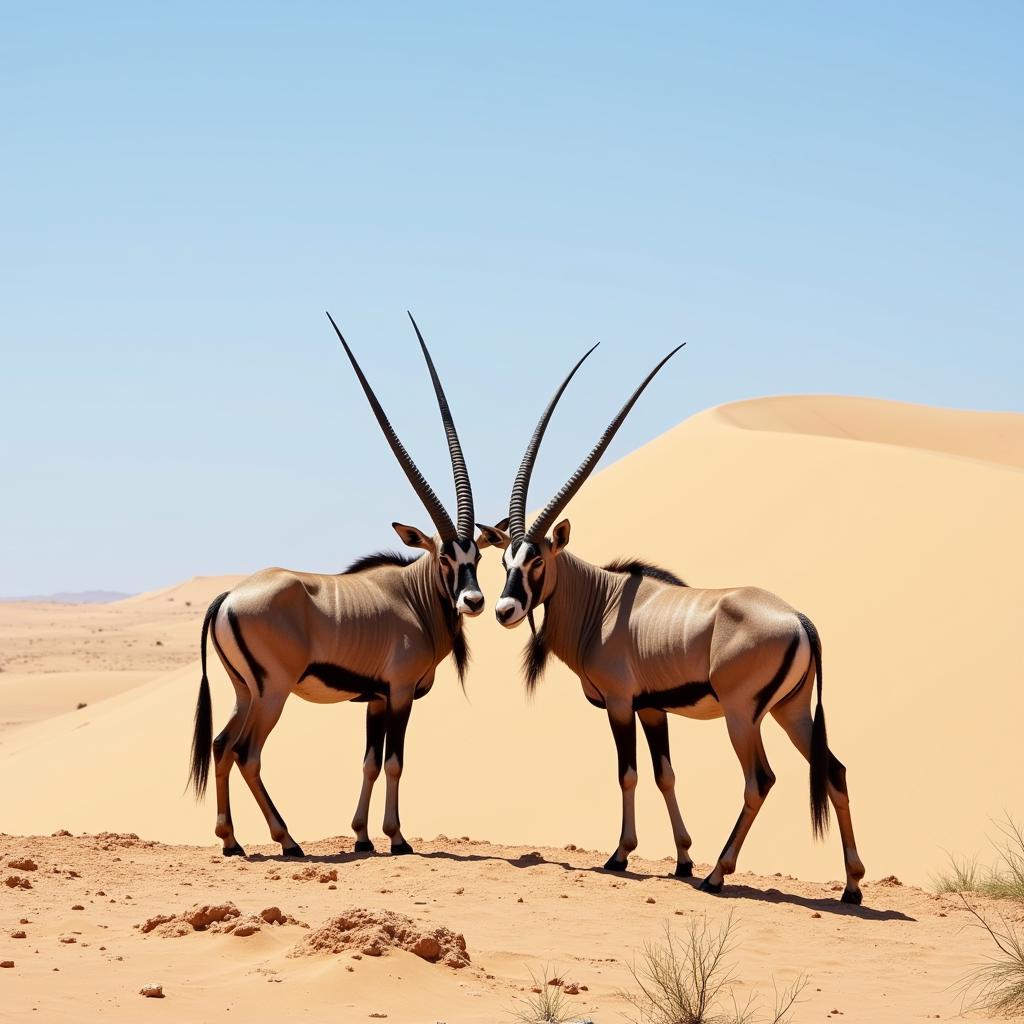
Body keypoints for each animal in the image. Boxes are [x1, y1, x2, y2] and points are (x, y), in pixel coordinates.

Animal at [190, 311, 501, 856]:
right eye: (444, 556)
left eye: (477, 555)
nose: (474, 600)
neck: (413, 597)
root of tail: (228, 598)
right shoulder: (398, 693)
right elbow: (395, 761)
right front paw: (396, 838)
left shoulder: (374, 699)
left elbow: (370, 762)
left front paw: (361, 836)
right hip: (272, 692)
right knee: (247, 752)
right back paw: (287, 840)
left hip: (244, 691)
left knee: (222, 746)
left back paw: (232, 842)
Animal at [483, 346, 868, 905]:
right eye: (505, 559)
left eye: (537, 561)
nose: (505, 610)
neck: (602, 601)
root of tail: (800, 620)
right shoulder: (653, 708)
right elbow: (665, 774)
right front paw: (683, 858)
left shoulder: (621, 704)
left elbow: (628, 774)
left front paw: (622, 855)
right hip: (791, 712)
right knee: (834, 771)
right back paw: (852, 886)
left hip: (742, 715)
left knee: (760, 780)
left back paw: (718, 875)